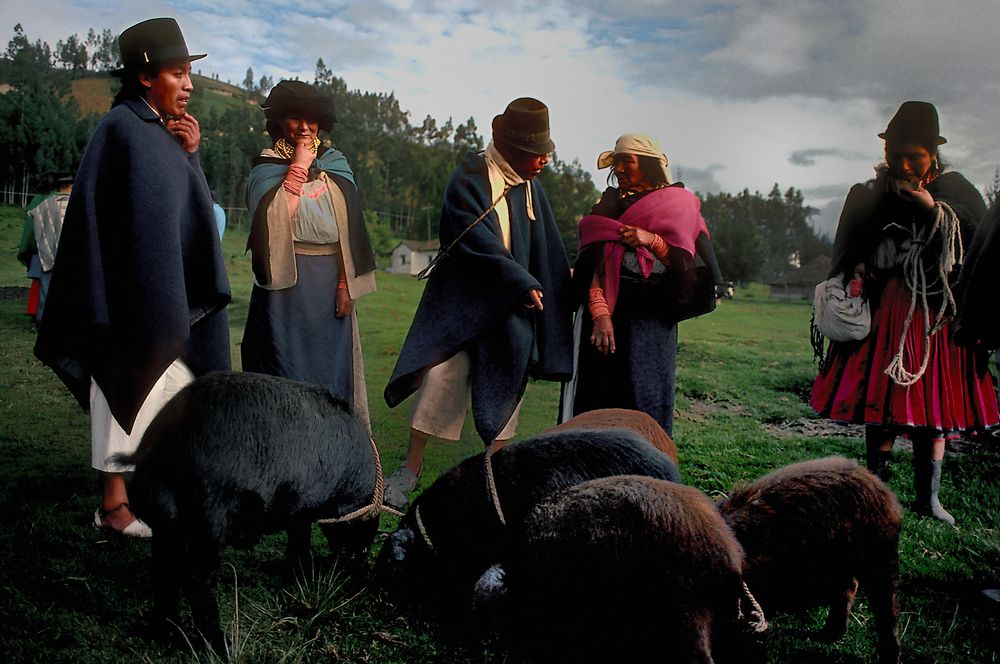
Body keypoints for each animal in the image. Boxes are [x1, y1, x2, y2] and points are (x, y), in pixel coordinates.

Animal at [117, 370, 380, 656]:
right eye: (365, 533)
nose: (361, 568)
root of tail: (161, 444)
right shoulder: (302, 508)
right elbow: (300, 540)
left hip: (167, 526)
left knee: (164, 572)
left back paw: (169, 632)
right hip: (209, 522)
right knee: (197, 581)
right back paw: (223, 646)